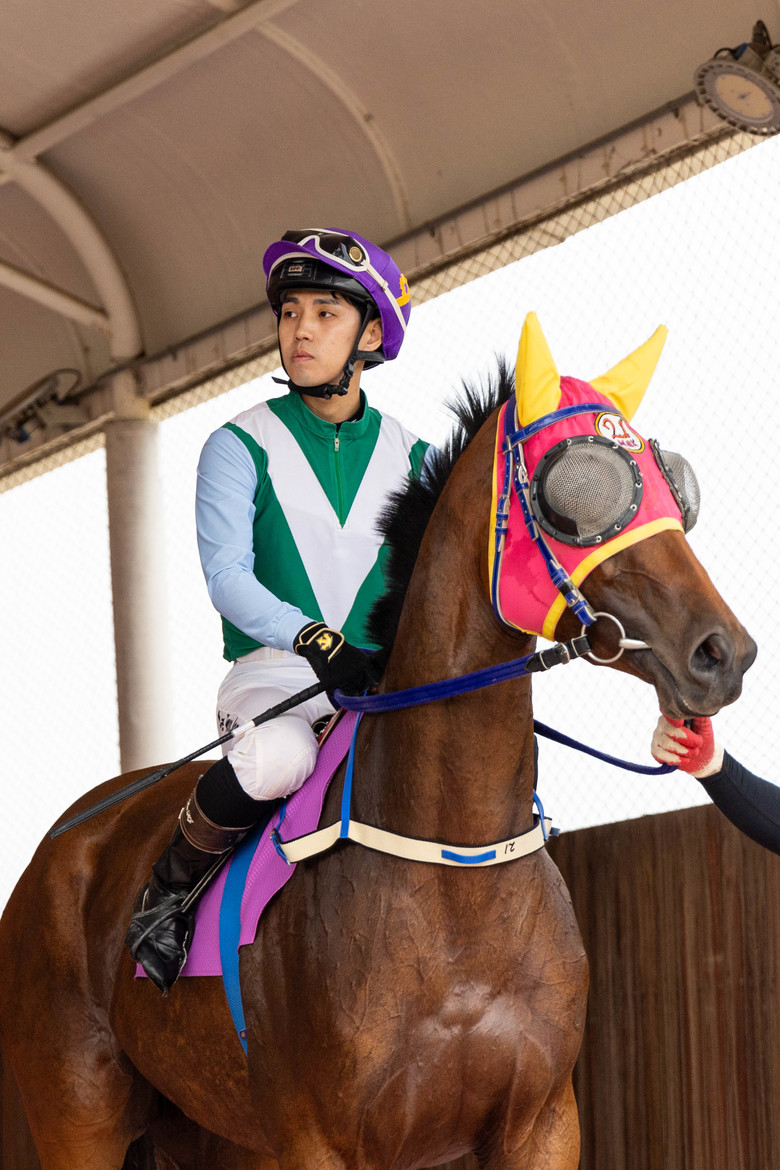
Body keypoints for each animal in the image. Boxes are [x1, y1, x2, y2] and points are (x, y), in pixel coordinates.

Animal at [0, 313, 756, 1170]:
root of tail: (59, 843)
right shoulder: (322, 1141)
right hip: (76, 1112)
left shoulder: (541, 1124)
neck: (456, 873)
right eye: (581, 487)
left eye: (673, 486)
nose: (722, 653)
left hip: (195, 1125)